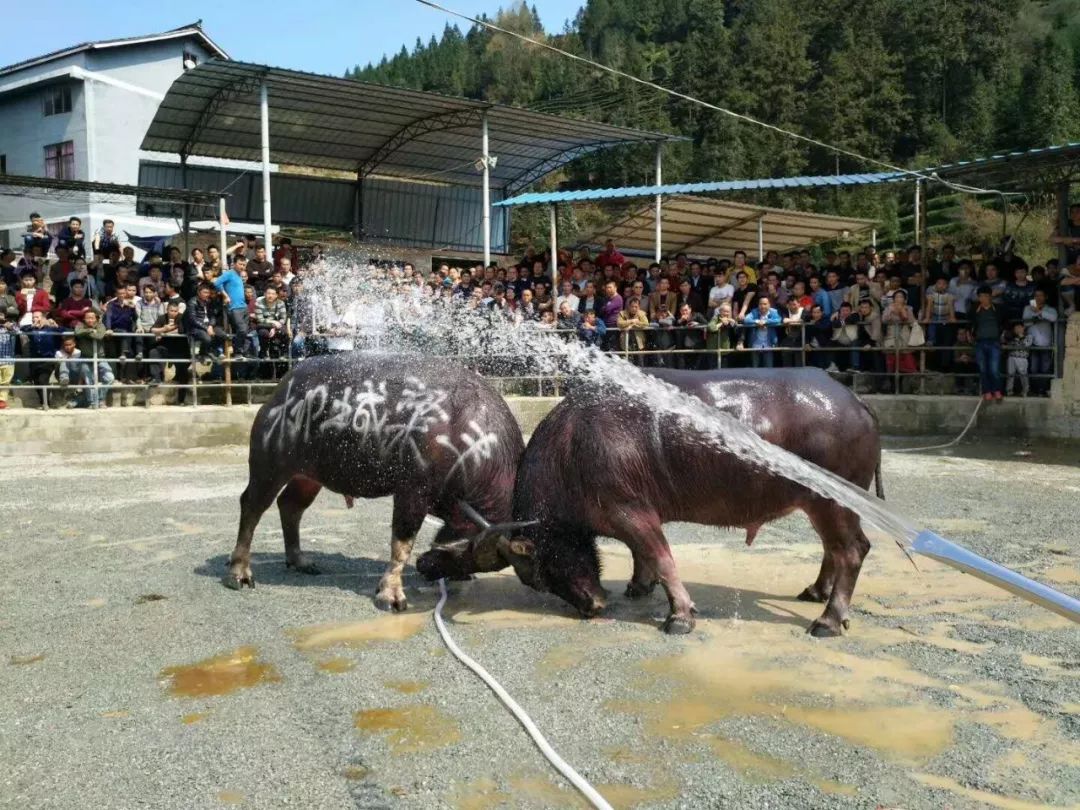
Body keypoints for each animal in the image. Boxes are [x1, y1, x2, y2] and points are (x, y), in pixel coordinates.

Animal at [226, 352, 527, 613]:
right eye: (467, 554)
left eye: (474, 561)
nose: (425, 567)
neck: (470, 444)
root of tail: (280, 390)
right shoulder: (411, 492)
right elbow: (402, 543)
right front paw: (390, 594)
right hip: (270, 464)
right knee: (252, 506)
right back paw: (240, 573)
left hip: (309, 475)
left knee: (290, 505)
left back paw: (300, 560)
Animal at [416, 367, 881, 639]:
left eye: (542, 574)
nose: (593, 606)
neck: (572, 447)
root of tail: (855, 401)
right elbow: (641, 555)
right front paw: (639, 587)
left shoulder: (632, 510)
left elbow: (660, 556)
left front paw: (680, 616)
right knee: (833, 549)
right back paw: (816, 592)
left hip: (833, 503)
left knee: (852, 550)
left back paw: (828, 619)